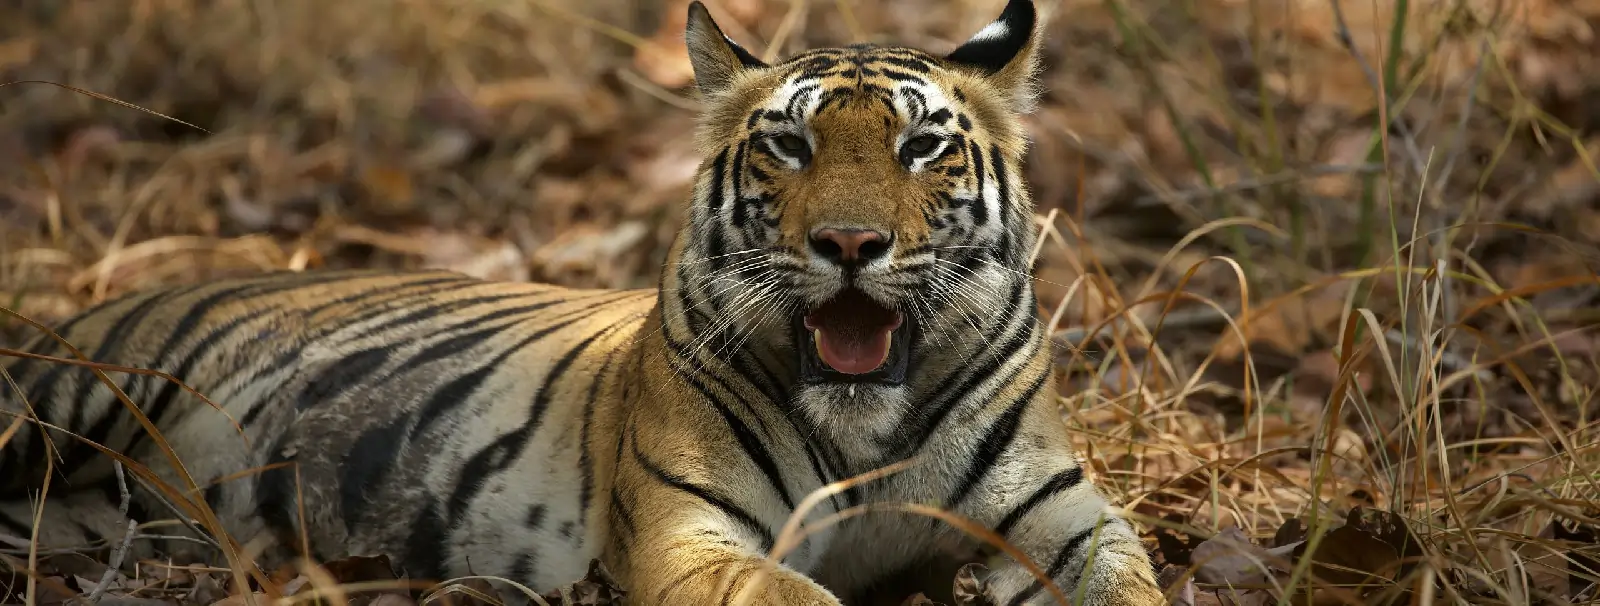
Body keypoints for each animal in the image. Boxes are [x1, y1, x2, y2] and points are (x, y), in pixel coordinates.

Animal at [0, 0, 1164, 604]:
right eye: (790, 145)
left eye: (921, 146)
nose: (847, 244)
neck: (867, 431)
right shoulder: (692, 535)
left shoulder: (1066, 518)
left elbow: (1124, 585)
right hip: (53, 402)